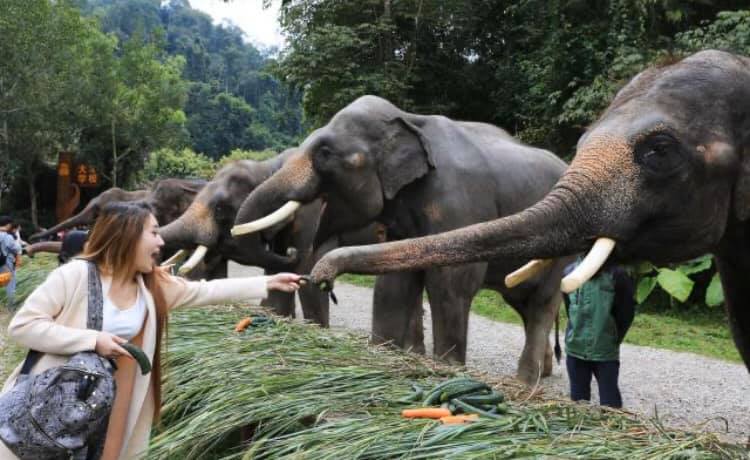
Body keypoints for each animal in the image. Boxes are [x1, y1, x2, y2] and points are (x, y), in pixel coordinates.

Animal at [232, 95, 570, 383]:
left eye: (325, 153)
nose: (290, 253)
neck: (410, 118)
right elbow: (396, 280)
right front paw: (385, 354)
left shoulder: (460, 203)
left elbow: (451, 282)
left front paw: (447, 370)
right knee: (523, 301)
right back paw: (541, 374)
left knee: (541, 302)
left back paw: (525, 382)